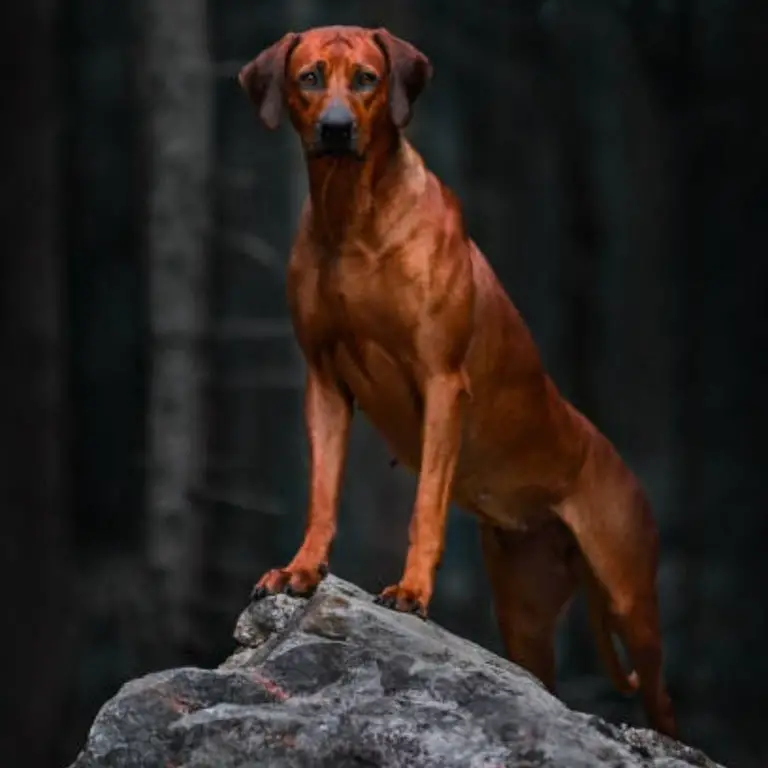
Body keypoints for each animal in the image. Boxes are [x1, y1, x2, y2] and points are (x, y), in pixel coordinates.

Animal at [240, 24, 680, 736]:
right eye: (309, 78)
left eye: (365, 79)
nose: (336, 129)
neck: (351, 214)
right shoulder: (325, 384)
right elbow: (322, 494)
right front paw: (302, 569)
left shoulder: (442, 381)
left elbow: (425, 507)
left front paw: (412, 591)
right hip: (524, 608)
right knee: (538, 673)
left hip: (630, 598)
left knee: (662, 697)